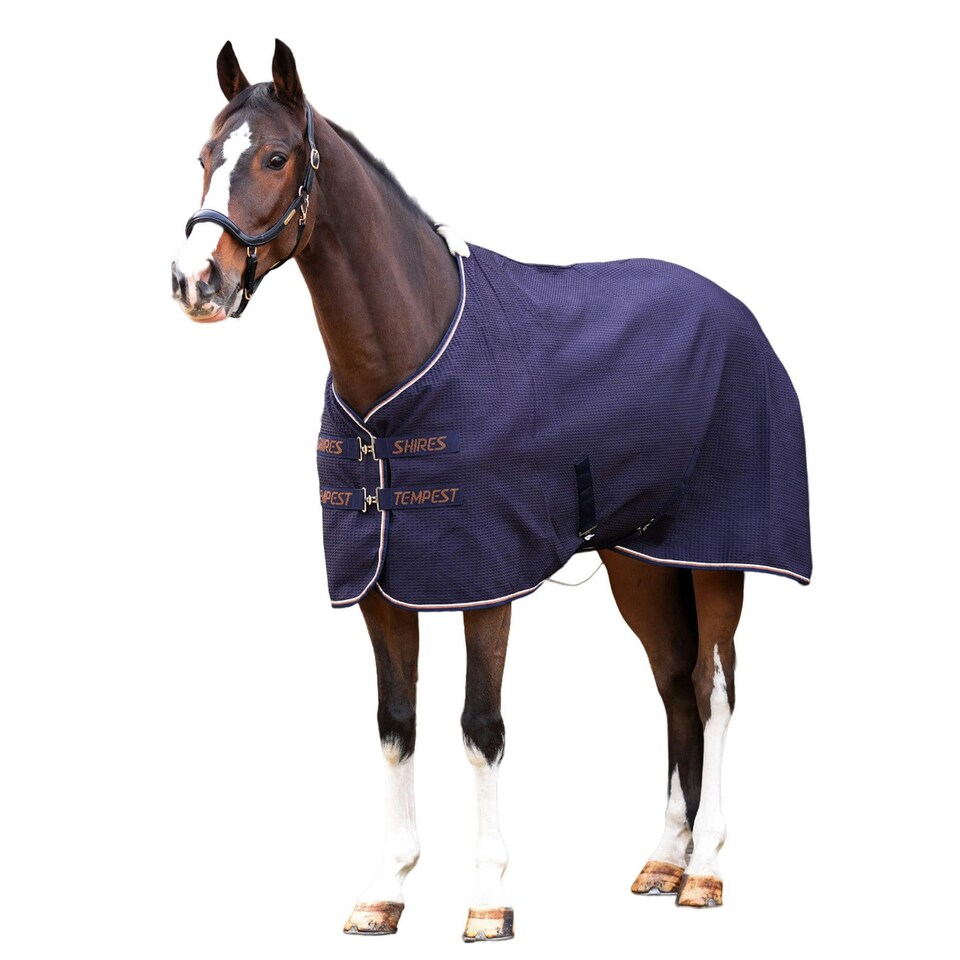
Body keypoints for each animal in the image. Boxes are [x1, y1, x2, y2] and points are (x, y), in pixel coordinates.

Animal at [171, 39, 811, 941]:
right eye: (202, 157)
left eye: (274, 156)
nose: (196, 281)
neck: (405, 363)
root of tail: (738, 313)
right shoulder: (381, 586)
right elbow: (395, 726)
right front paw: (385, 889)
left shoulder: (486, 582)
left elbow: (481, 729)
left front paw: (487, 899)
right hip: (641, 564)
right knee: (672, 687)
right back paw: (662, 859)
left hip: (719, 557)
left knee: (713, 691)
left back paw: (707, 869)